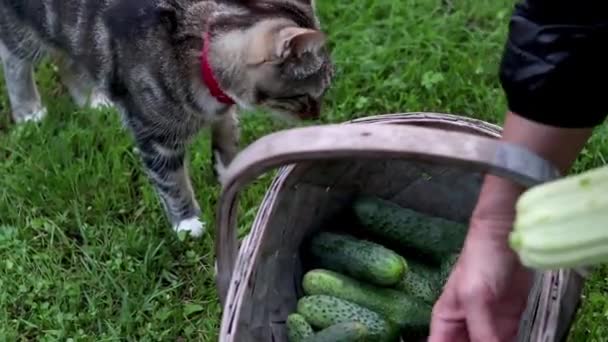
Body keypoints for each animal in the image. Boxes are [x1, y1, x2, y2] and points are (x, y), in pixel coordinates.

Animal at [0, 0, 334, 238]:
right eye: (308, 96)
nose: (317, 115)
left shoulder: (224, 108)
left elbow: (227, 135)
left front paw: (229, 170)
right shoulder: (154, 135)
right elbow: (171, 180)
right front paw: (186, 221)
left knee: (69, 58)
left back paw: (91, 99)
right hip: (25, 29)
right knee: (15, 59)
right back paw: (29, 111)